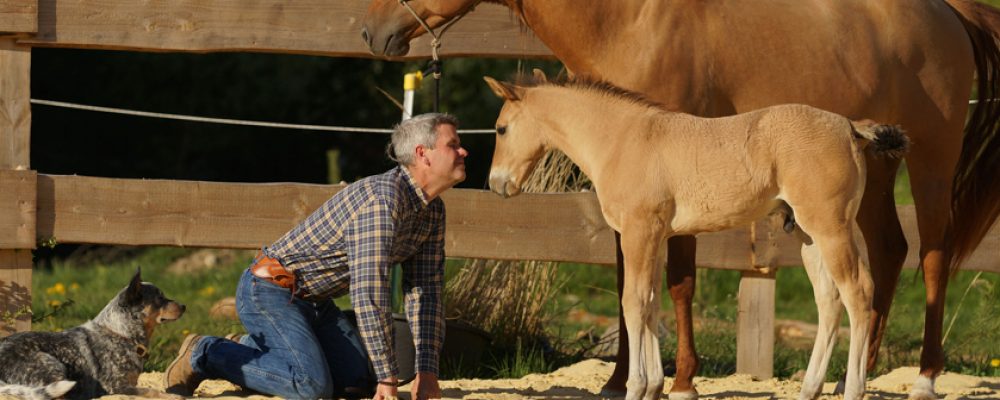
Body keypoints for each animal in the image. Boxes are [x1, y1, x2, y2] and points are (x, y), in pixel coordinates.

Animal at [0, 268, 184, 400]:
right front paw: (173, 396)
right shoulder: (116, 386)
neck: (121, 333)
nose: (184, 306)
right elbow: (150, 392)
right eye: (160, 298)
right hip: (52, 364)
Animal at [482, 74, 908, 400]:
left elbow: (632, 302)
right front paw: (655, 385)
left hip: (830, 228)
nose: (497, 185)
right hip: (809, 236)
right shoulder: (655, 237)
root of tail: (850, 128)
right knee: (828, 300)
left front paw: (636, 387)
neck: (623, 140)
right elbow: (650, 302)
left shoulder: (638, 232)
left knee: (858, 292)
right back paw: (809, 388)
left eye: (501, 129)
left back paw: (852, 389)